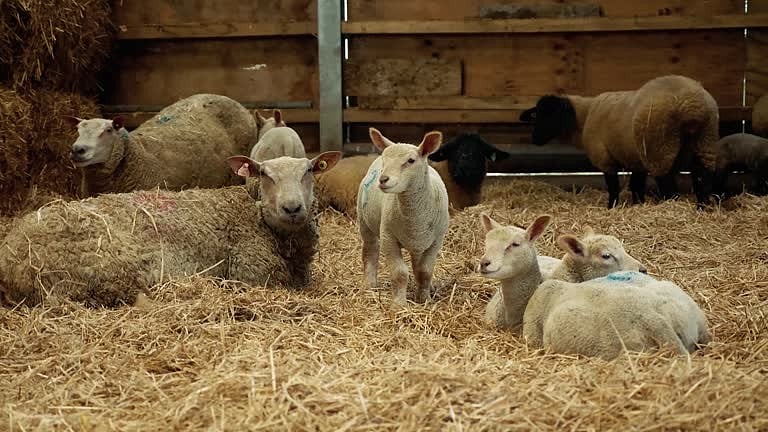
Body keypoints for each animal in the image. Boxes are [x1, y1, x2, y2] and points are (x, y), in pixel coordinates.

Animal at [0, 151, 342, 308]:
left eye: (309, 170)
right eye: (264, 174)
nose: (292, 208)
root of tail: (10, 256)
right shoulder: (253, 273)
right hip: (107, 266)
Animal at [357, 128, 450, 306]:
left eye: (411, 160)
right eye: (385, 160)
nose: (383, 179)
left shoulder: (435, 242)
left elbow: (425, 272)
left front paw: (424, 299)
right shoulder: (388, 238)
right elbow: (400, 273)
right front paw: (399, 305)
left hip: (419, 243)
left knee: (417, 265)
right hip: (365, 222)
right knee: (370, 251)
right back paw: (369, 284)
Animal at [520, 75, 720, 209]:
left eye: (550, 116)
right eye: (536, 115)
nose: (534, 139)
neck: (584, 116)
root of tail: (692, 106)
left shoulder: (605, 158)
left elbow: (613, 186)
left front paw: (612, 207)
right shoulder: (635, 159)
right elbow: (636, 185)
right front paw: (638, 205)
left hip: (659, 148)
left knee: (668, 185)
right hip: (705, 141)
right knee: (703, 176)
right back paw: (702, 208)